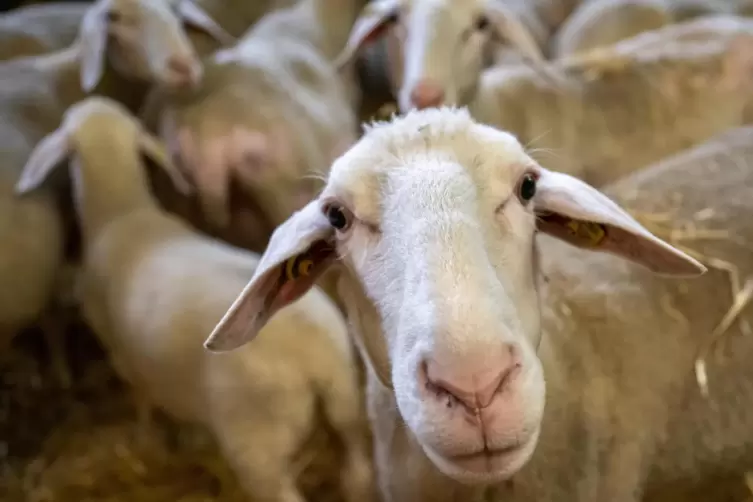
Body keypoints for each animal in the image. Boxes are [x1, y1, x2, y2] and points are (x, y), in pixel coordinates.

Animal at [13, 96, 374, 502]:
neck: (121, 212)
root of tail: (311, 354)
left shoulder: (120, 351)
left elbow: (142, 397)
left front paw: (147, 437)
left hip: (257, 440)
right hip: (345, 396)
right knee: (357, 465)